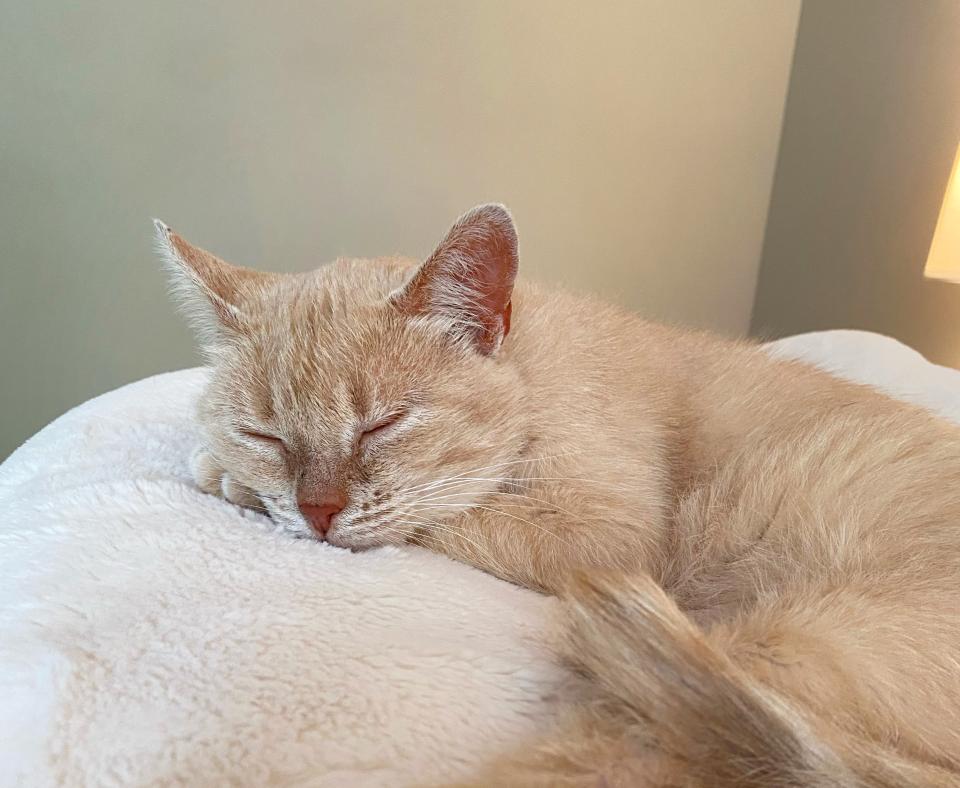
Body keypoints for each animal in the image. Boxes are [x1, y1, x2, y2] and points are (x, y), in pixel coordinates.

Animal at [156, 206, 960, 784]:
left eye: (385, 423)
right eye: (265, 434)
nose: (317, 510)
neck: (533, 369)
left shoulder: (604, 534)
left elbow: (448, 514)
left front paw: (223, 476)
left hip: (763, 656)